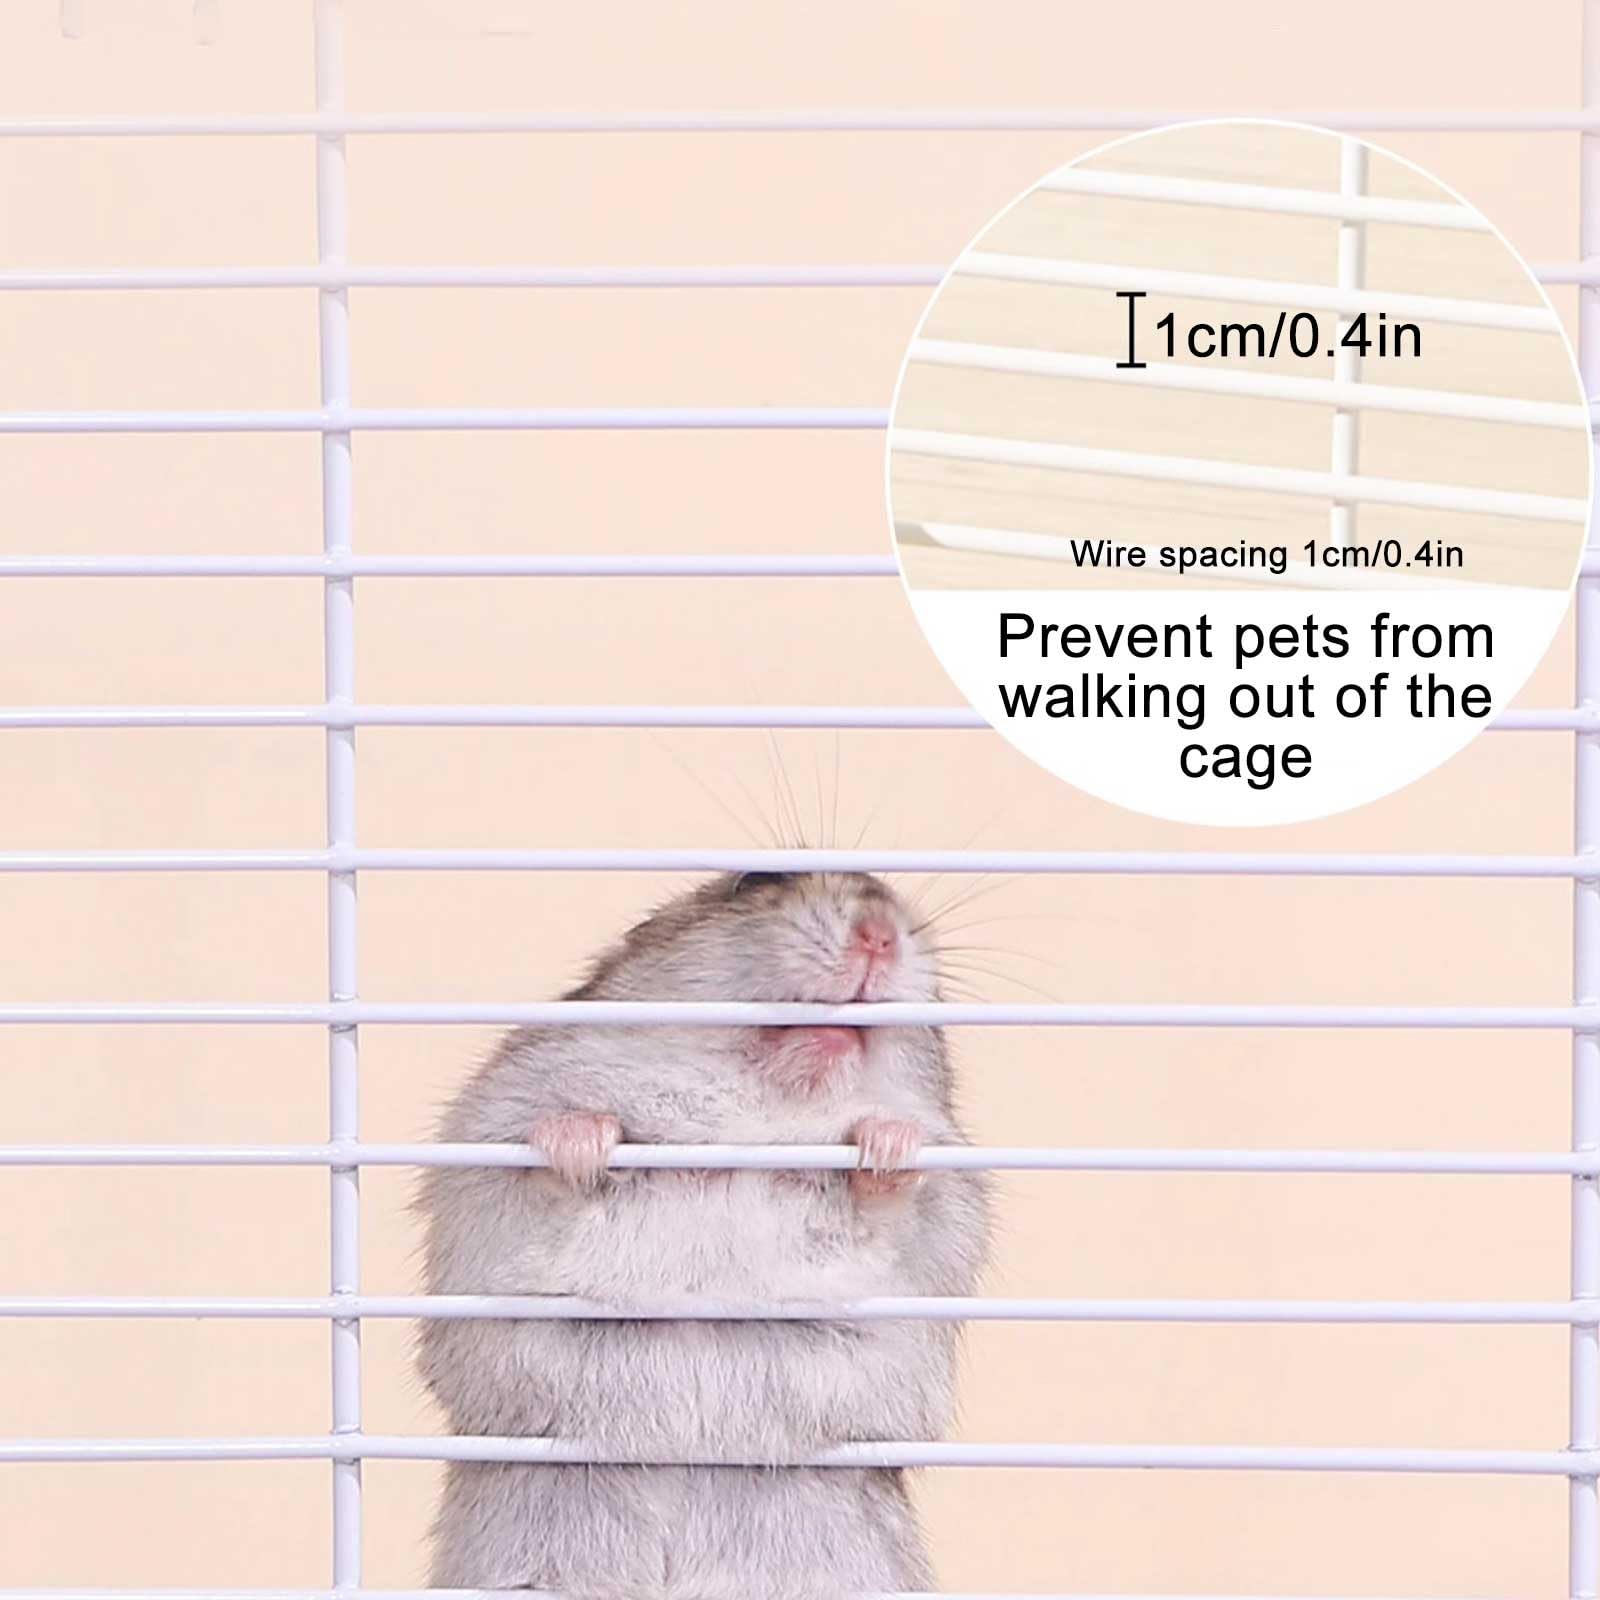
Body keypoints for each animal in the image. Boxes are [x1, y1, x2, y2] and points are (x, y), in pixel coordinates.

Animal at [415, 870, 993, 1599]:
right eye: (752, 881)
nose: (879, 934)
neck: (753, 1123)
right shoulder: (496, 1139)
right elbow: (551, 1175)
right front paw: (583, 1140)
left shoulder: (942, 1225)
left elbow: (892, 1205)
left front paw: (886, 1144)